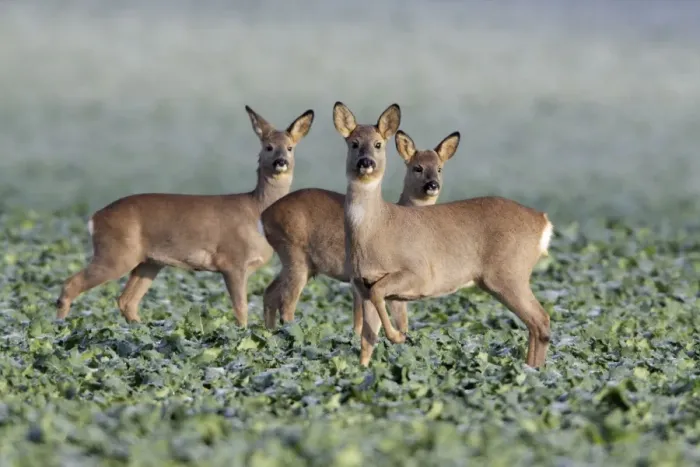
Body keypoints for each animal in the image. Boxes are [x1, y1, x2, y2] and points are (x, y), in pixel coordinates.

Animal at [55, 105, 315, 326]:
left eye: (290, 147)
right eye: (268, 146)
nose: (281, 162)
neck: (256, 210)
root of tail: (94, 218)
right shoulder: (232, 261)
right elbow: (241, 310)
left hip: (148, 262)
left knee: (126, 301)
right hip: (115, 252)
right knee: (71, 284)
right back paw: (60, 328)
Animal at [259, 115, 457, 334]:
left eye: (439, 168)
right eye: (417, 168)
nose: (432, 185)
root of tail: (265, 215)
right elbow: (378, 319)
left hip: (299, 263)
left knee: (269, 293)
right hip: (295, 257)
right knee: (286, 304)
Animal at [332, 102, 554, 368]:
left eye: (378, 144)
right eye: (353, 143)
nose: (366, 163)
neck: (377, 228)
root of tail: (542, 221)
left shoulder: (418, 273)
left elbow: (380, 304)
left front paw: (397, 336)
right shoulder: (362, 284)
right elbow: (367, 340)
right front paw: (360, 370)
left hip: (509, 273)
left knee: (541, 320)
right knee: (535, 324)